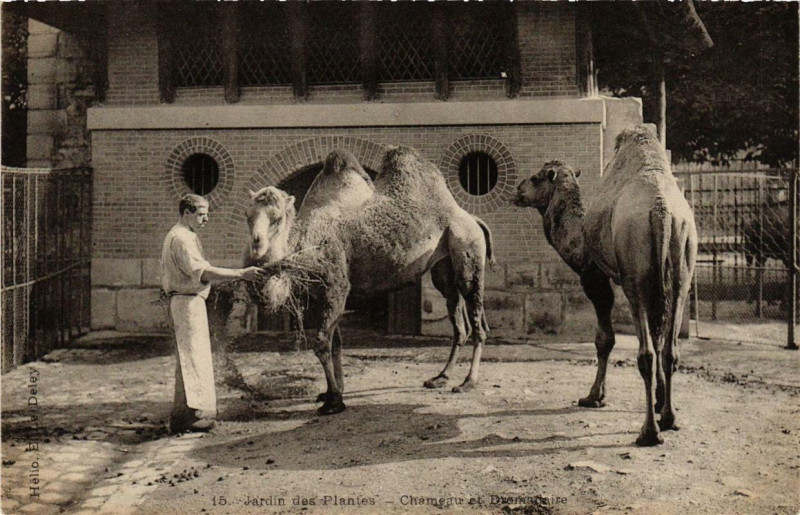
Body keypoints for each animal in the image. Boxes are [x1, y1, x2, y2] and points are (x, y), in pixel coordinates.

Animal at [245, 146, 494, 415]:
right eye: (248, 216)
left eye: (277, 217)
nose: (257, 244)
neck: (306, 241)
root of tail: (472, 218)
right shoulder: (322, 294)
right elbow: (336, 343)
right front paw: (332, 392)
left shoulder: (337, 287)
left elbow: (322, 343)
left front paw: (334, 402)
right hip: (444, 266)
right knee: (459, 322)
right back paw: (441, 377)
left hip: (467, 249)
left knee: (477, 320)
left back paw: (468, 382)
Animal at [516, 125, 697, 446]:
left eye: (536, 178)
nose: (517, 190)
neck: (577, 235)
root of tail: (661, 212)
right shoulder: (660, 282)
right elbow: (658, 334)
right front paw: (660, 401)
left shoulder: (594, 277)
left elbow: (604, 339)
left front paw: (593, 397)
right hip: (681, 270)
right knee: (669, 348)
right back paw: (670, 419)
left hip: (634, 275)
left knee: (646, 353)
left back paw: (648, 432)